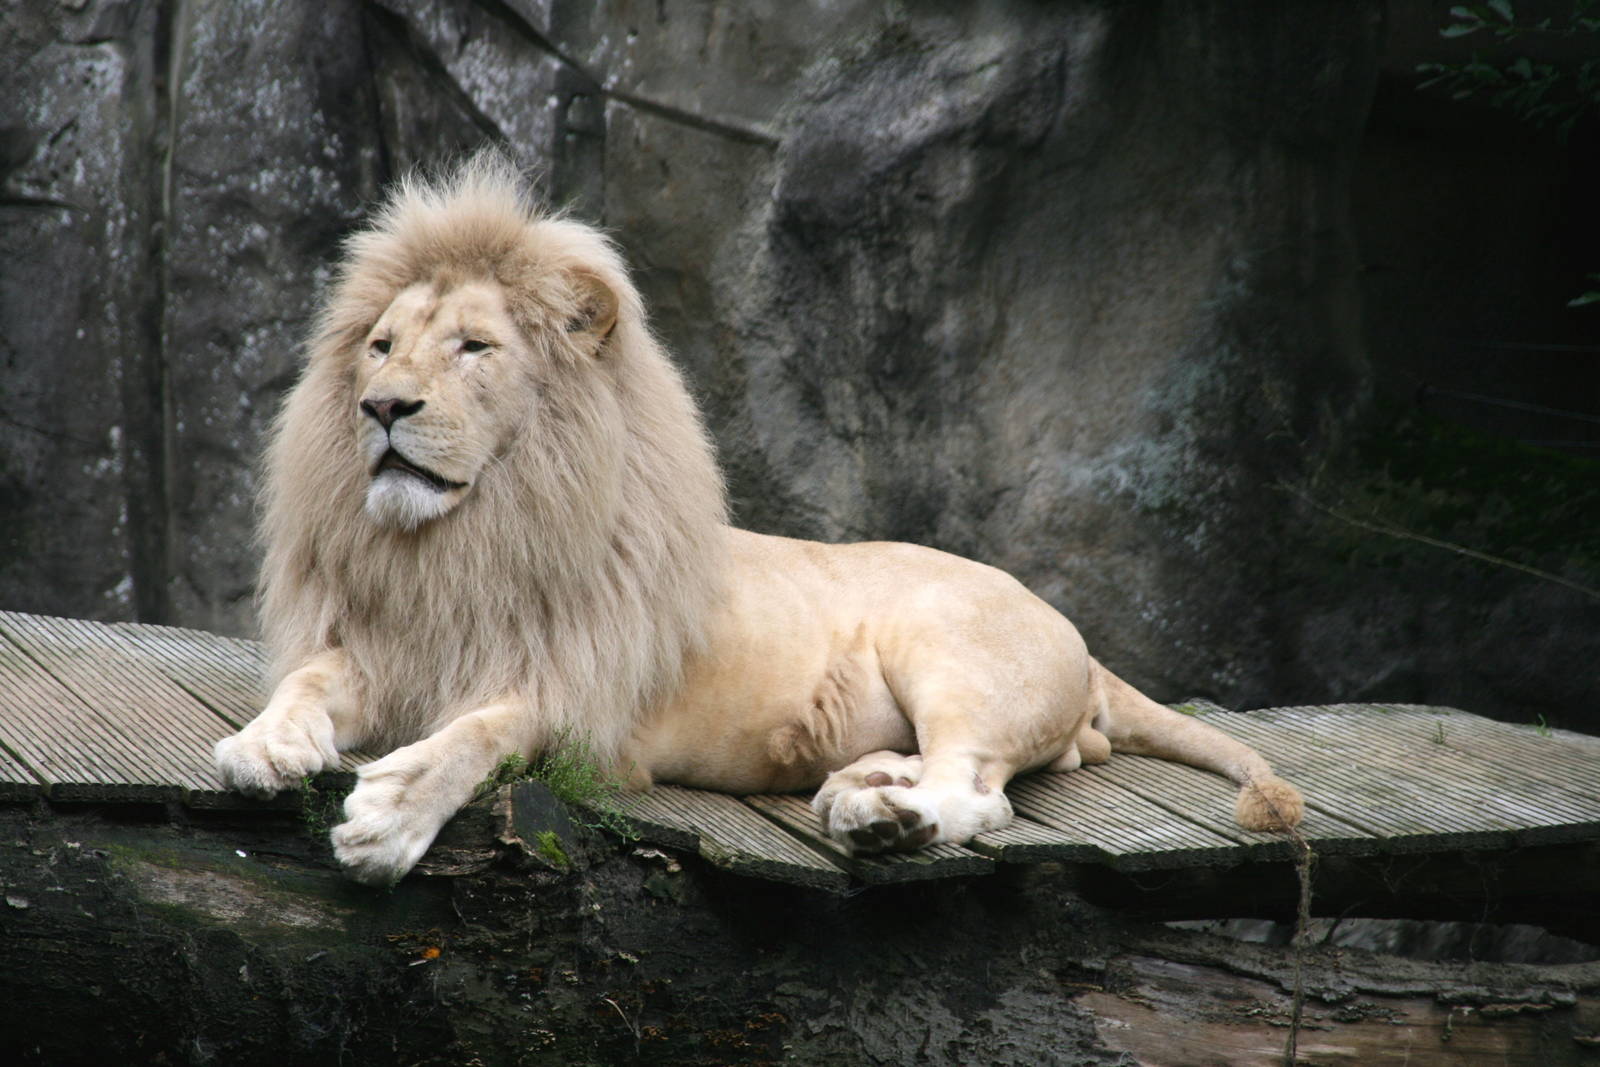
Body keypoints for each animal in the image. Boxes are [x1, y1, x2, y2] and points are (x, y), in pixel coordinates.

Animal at [214, 152, 1303, 885]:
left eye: (473, 346)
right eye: (381, 345)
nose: (381, 407)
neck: (466, 540)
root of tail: (1077, 633)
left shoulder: (588, 704)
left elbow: (485, 728)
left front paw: (390, 813)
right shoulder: (388, 641)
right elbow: (310, 679)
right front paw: (266, 744)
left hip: (947, 645)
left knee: (979, 791)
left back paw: (884, 821)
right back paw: (867, 782)